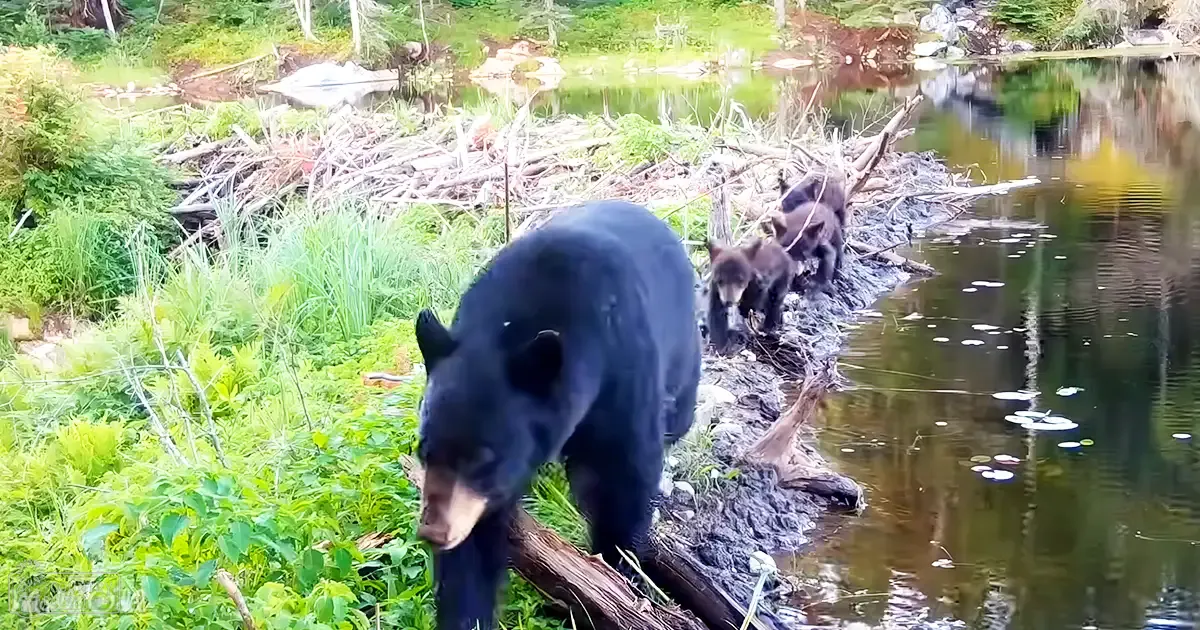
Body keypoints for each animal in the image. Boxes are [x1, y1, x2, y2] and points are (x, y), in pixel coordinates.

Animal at [413, 200, 702, 630]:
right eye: (424, 449)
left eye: (483, 460)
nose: (434, 531)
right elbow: (475, 546)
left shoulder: (623, 369)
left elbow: (624, 478)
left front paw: (619, 576)